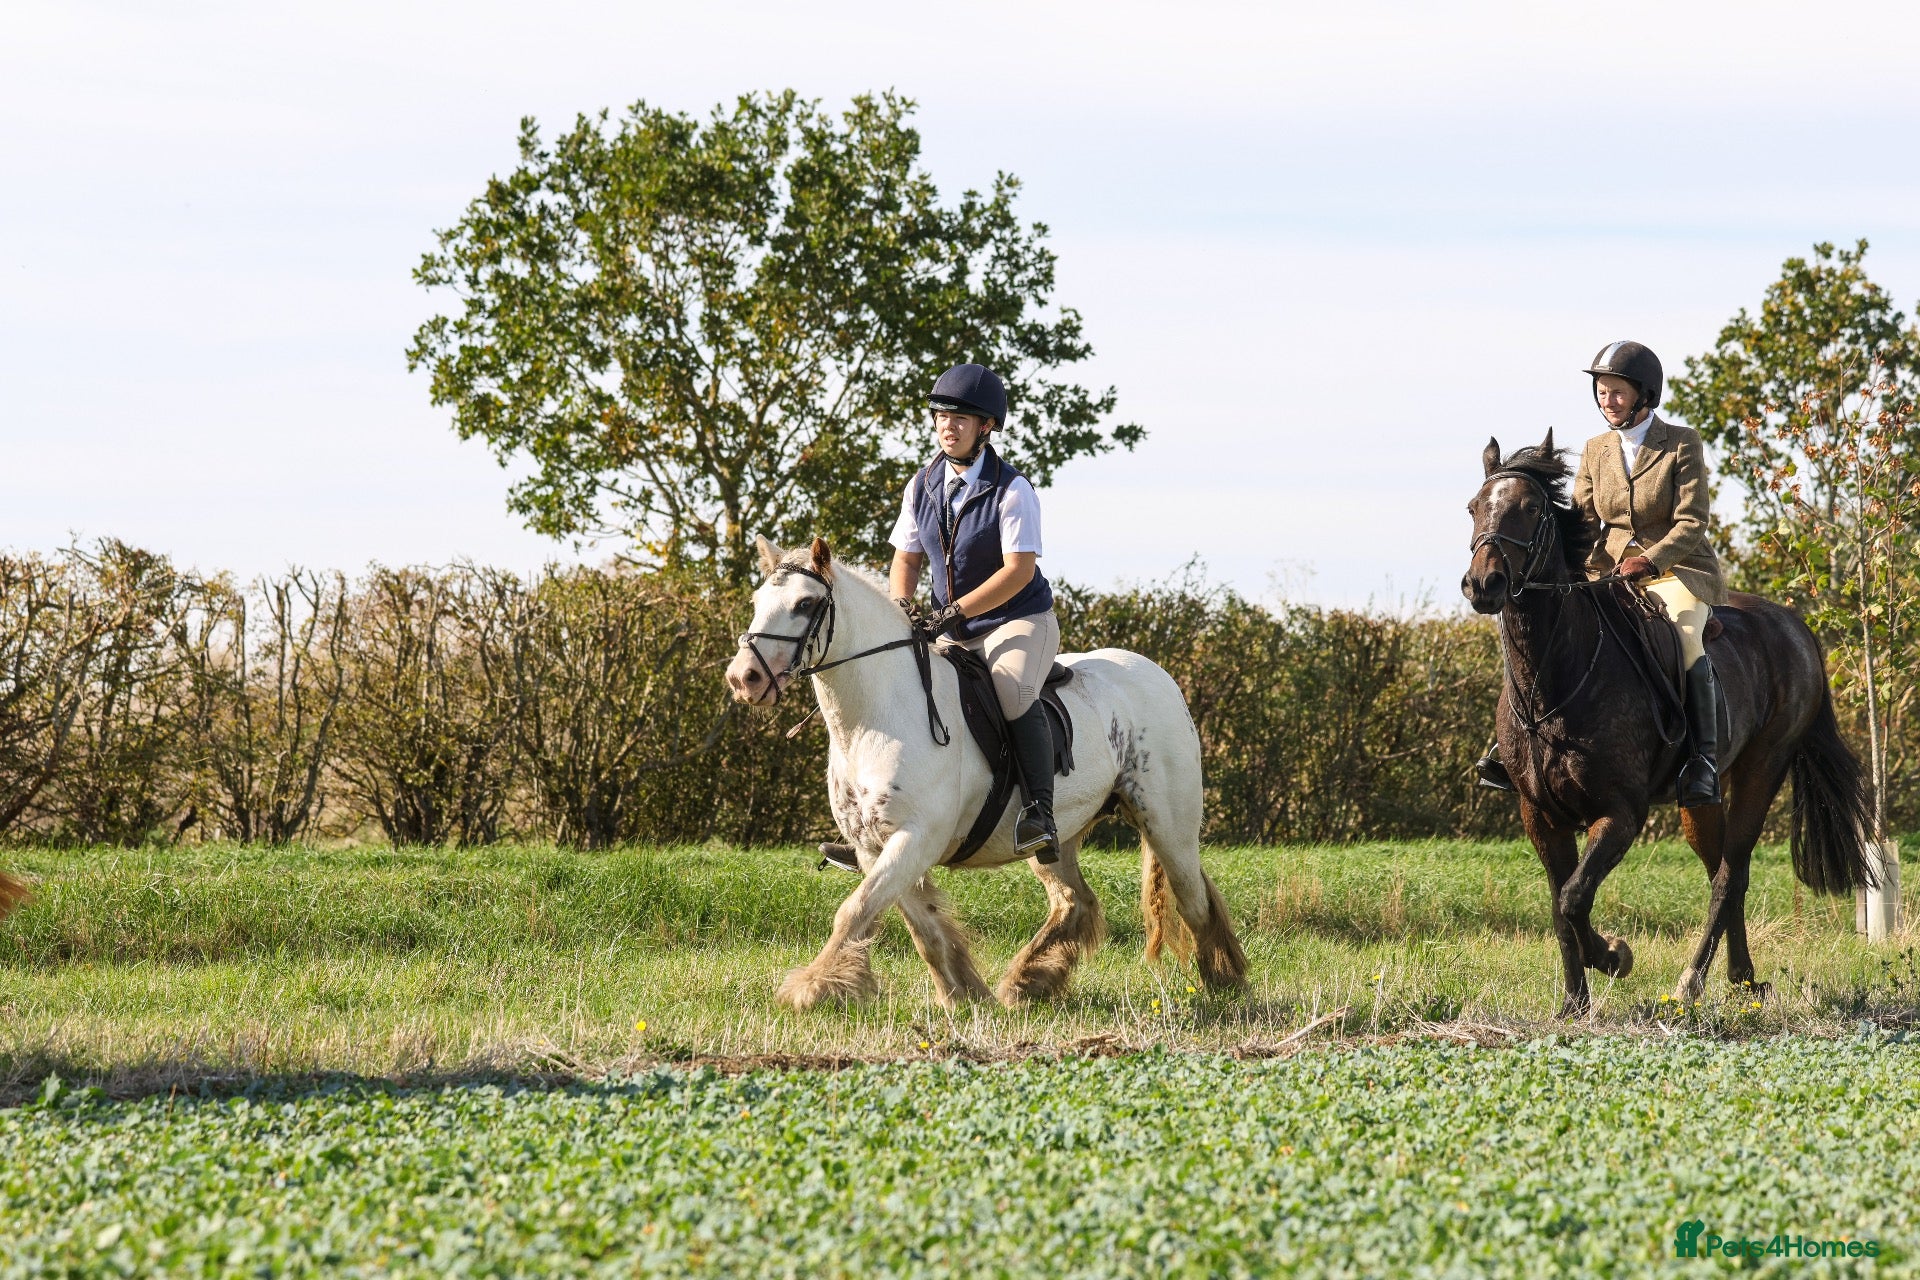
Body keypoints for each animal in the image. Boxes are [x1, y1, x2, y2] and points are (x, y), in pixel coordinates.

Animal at [724, 536, 1247, 1010]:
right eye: (756, 602)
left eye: (805, 603)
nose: (744, 678)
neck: (877, 717)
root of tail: (1158, 675)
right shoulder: (874, 848)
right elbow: (920, 927)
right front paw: (964, 995)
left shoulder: (916, 837)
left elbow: (854, 910)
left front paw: (814, 987)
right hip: (1055, 838)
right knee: (1075, 901)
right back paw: (1027, 982)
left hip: (1167, 824)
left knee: (1192, 898)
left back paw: (1224, 984)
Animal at [1463, 431, 1875, 1016]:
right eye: (1474, 507)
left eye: (1530, 509)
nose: (1484, 584)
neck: (1553, 676)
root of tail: (1794, 626)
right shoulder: (1539, 815)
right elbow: (1561, 904)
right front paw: (1573, 1004)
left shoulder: (1620, 814)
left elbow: (1574, 897)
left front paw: (1613, 956)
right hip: (1698, 799)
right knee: (1723, 870)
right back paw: (1742, 980)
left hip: (1762, 769)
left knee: (1729, 875)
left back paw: (1691, 982)